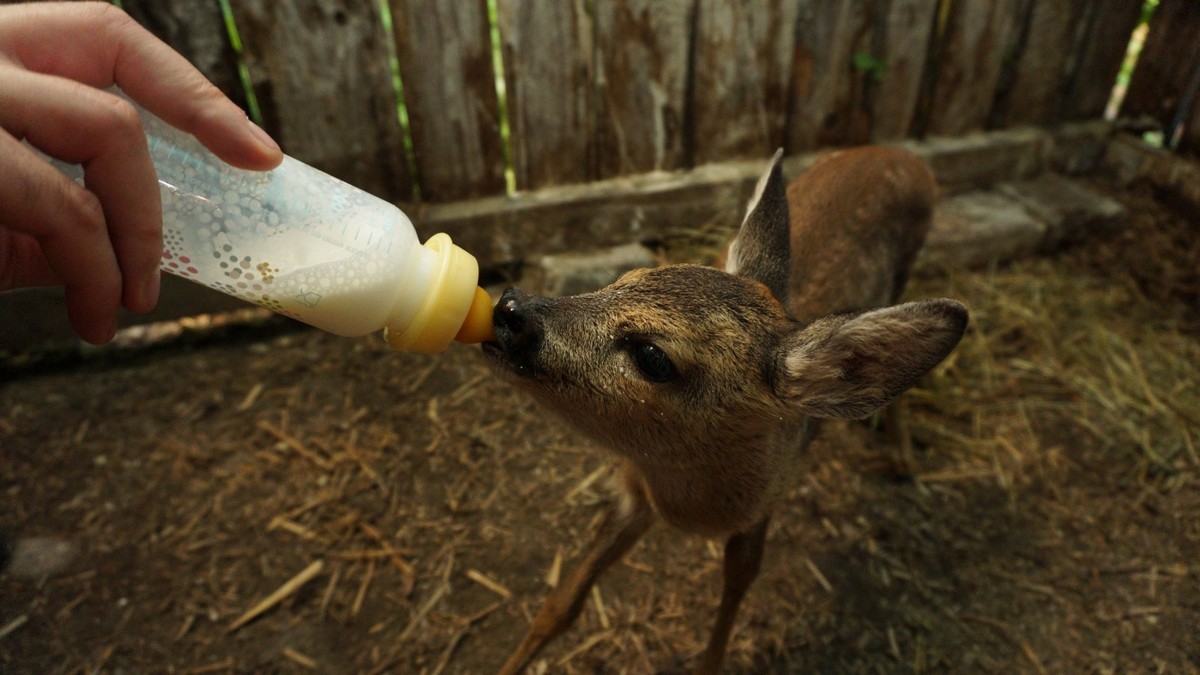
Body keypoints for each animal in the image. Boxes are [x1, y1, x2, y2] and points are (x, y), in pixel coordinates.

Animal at [477, 147, 964, 672]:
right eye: (621, 281)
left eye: (653, 356)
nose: (510, 307)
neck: (690, 505)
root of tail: (906, 156)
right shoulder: (630, 485)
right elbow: (561, 605)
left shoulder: (763, 505)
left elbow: (731, 604)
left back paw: (903, 459)